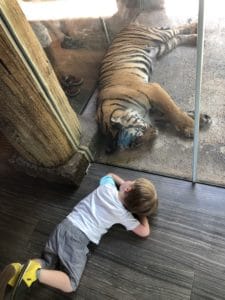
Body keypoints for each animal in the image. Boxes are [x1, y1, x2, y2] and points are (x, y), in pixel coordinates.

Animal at [96, 22, 211, 152]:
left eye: (134, 137)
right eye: (136, 143)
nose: (154, 132)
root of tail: (130, 24)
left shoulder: (153, 89)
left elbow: (173, 110)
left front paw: (190, 126)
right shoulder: (151, 111)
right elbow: (173, 112)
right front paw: (201, 118)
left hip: (157, 36)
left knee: (176, 29)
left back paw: (195, 26)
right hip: (163, 47)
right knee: (178, 37)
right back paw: (195, 39)